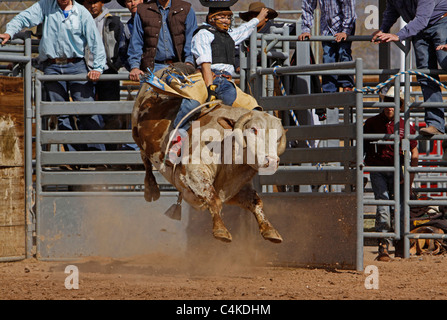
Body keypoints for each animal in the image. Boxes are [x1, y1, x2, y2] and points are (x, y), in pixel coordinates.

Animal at [133, 79, 288, 242]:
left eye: (278, 138)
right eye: (253, 130)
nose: (272, 161)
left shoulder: (235, 188)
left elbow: (256, 202)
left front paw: (270, 230)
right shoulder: (193, 172)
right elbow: (213, 199)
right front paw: (221, 231)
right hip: (136, 134)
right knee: (145, 160)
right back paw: (151, 189)